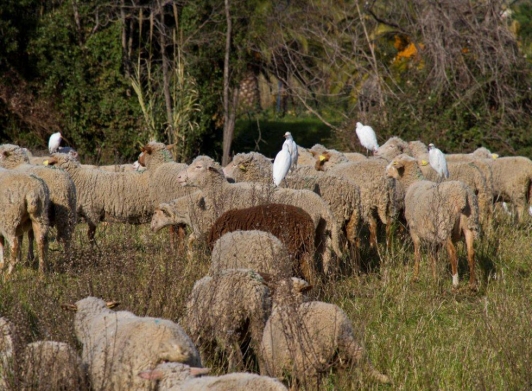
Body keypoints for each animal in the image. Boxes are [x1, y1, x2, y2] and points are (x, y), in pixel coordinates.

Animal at [222, 152, 364, 250]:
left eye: (234, 164)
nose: (223, 171)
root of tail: (353, 192)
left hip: (338, 217)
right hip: (352, 219)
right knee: (354, 242)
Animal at [384, 155, 480, 290]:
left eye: (394, 163)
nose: (385, 172)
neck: (412, 183)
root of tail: (462, 196)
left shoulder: (414, 230)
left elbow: (417, 254)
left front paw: (415, 277)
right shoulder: (432, 236)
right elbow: (433, 257)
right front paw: (435, 278)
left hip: (444, 226)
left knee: (452, 252)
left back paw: (455, 282)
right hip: (470, 225)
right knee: (471, 253)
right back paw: (472, 284)